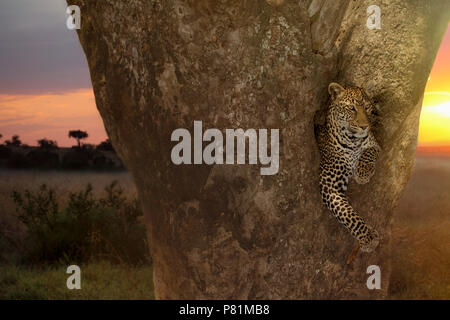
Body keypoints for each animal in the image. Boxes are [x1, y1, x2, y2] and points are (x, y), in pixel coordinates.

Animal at [316, 82, 380, 252]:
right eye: (352, 108)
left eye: (367, 107)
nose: (365, 126)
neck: (352, 141)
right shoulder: (329, 184)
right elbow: (348, 214)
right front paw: (368, 237)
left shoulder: (373, 143)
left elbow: (369, 152)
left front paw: (362, 173)